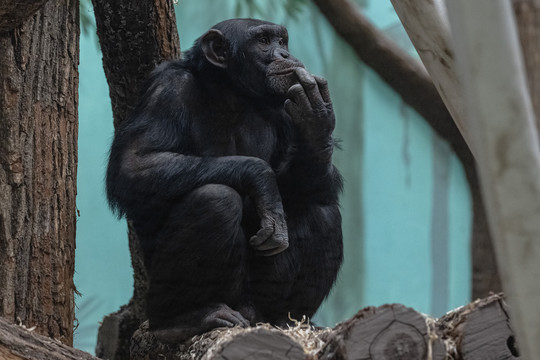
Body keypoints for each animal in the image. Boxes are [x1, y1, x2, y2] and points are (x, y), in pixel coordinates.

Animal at [106, 17, 342, 344]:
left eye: (282, 41)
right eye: (264, 41)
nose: (284, 54)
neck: (232, 95)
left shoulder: (283, 105)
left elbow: (318, 186)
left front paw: (315, 119)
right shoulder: (166, 89)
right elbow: (135, 165)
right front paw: (262, 180)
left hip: (261, 299)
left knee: (322, 211)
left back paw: (286, 319)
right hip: (223, 299)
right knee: (215, 200)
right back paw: (181, 319)